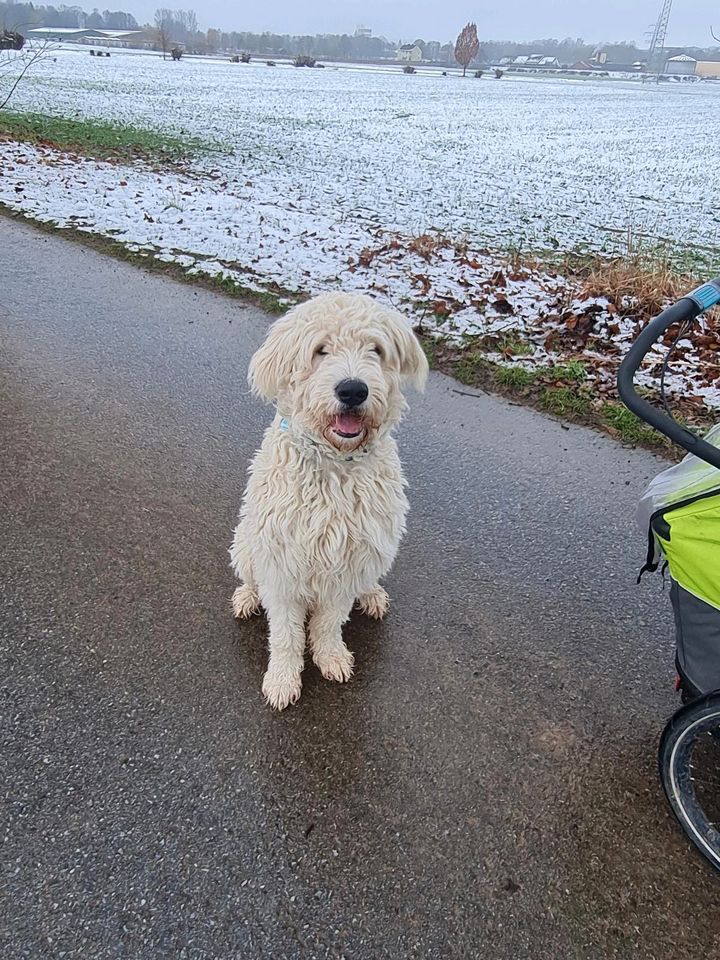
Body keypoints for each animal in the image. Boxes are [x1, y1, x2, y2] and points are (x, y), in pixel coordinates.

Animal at [229, 288, 428, 708]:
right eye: (320, 350)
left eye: (375, 350)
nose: (353, 390)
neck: (336, 463)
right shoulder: (282, 565)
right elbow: (285, 633)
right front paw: (283, 678)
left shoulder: (347, 563)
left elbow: (329, 621)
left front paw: (331, 656)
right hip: (245, 543)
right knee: (251, 578)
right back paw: (246, 597)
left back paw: (372, 594)